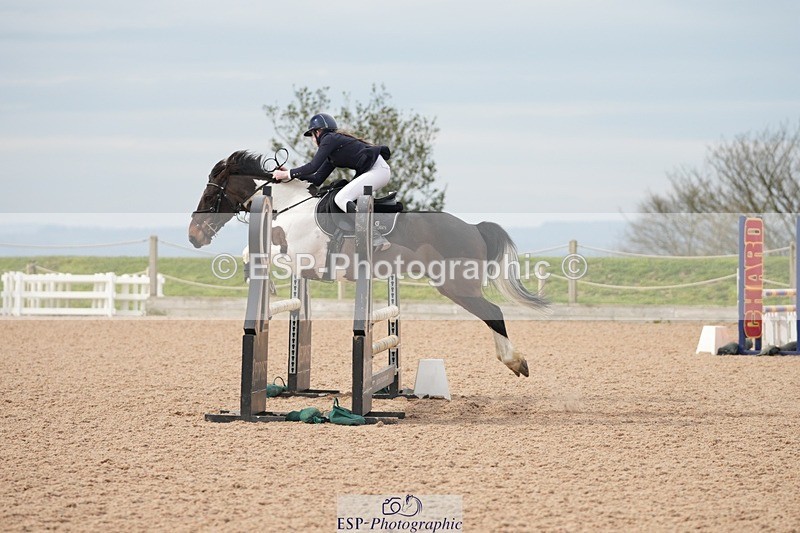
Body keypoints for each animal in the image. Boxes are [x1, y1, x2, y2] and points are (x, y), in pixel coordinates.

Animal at [188, 150, 548, 377]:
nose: (194, 236)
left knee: (493, 313)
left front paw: (266, 283)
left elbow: (255, 255)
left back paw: (515, 362)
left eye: (210, 195)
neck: (291, 206)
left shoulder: (299, 255)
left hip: (456, 285)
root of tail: (473, 228)